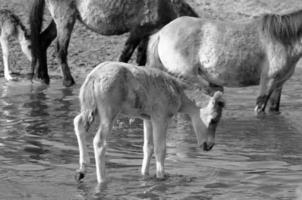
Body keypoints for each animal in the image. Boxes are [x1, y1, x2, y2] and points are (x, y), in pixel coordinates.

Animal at [28, 0, 198, 86]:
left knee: (43, 40)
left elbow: (141, 59)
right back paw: (68, 81)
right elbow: (125, 56)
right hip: (65, 19)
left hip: (60, 20)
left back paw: (43, 77)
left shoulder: (147, 34)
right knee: (60, 50)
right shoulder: (138, 31)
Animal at [73, 61, 224, 184]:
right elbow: (160, 148)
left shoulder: (147, 118)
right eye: (213, 120)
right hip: (109, 112)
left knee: (78, 122)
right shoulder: (160, 117)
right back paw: (102, 180)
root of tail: (93, 77)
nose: (209, 145)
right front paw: (161, 177)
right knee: (99, 141)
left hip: (90, 108)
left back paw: (81, 171)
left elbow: (148, 147)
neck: (178, 93)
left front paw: (144, 175)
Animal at [147, 9, 302, 114]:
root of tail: (160, 33)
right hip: (187, 78)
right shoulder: (268, 81)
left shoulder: (279, 84)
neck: (282, 40)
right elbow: (259, 109)